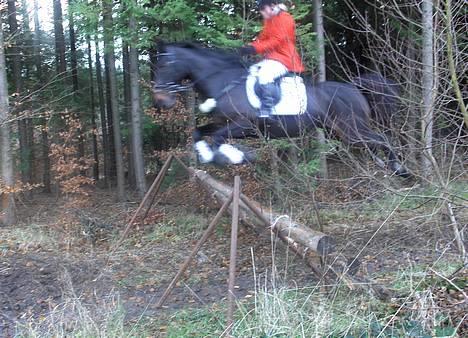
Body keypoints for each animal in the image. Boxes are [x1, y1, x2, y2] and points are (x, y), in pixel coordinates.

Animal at [154, 42, 410, 177]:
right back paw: (383, 164)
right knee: (375, 142)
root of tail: (353, 87)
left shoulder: (244, 126)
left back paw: (398, 167)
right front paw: (208, 156)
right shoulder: (223, 123)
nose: (161, 100)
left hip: (352, 129)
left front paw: (237, 157)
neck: (223, 81)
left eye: (164, 64)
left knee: (382, 139)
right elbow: (199, 132)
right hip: (342, 133)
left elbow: (217, 138)